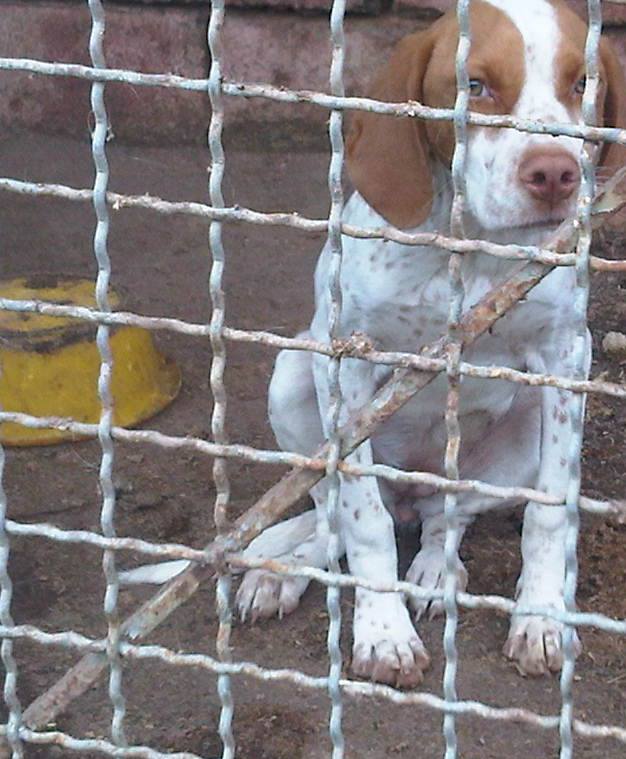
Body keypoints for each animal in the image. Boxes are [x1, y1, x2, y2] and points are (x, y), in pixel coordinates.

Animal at [235, 0, 624, 688]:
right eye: (475, 86)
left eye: (583, 84)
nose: (555, 174)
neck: (471, 254)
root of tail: (410, 495)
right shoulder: (348, 365)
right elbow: (362, 519)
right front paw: (383, 633)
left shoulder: (564, 359)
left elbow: (549, 512)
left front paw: (542, 618)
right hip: (292, 377)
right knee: (337, 511)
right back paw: (284, 571)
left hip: (515, 440)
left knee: (449, 518)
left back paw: (437, 568)